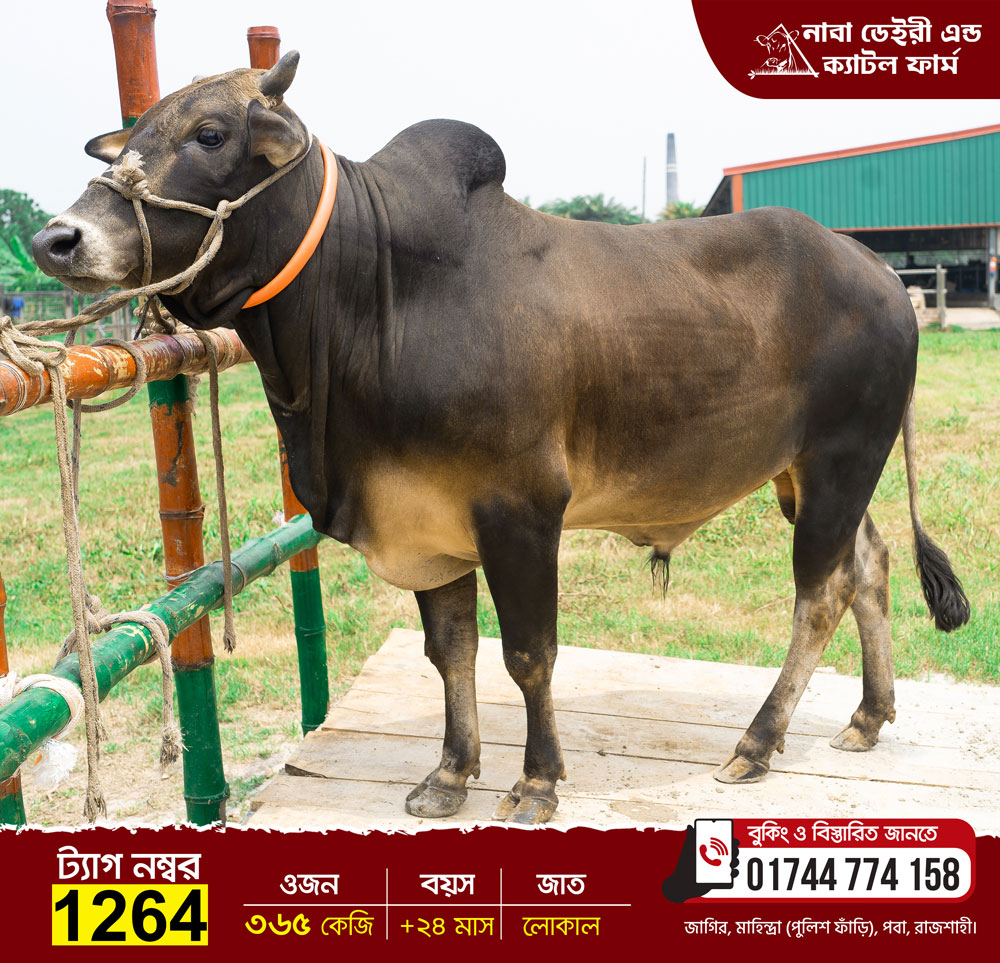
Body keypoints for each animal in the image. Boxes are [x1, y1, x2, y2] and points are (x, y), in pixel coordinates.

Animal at [33, 53, 969, 824]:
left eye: (211, 134)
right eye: (126, 143)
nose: (57, 237)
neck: (371, 297)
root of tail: (879, 269)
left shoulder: (520, 511)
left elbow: (528, 653)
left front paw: (537, 781)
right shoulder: (429, 517)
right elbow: (450, 651)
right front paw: (451, 771)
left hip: (841, 459)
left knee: (821, 593)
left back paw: (758, 741)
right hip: (805, 474)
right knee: (871, 565)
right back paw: (867, 715)